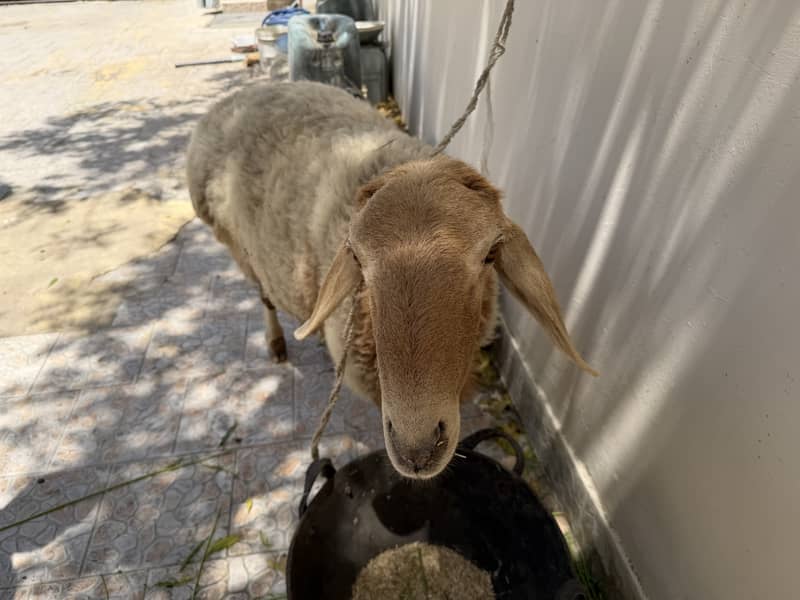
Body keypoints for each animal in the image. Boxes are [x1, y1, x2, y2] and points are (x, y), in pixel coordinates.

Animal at [186, 81, 595, 479]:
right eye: (356, 256)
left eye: (490, 254)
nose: (417, 447)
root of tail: (244, 92)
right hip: (238, 249)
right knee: (264, 295)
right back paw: (276, 342)